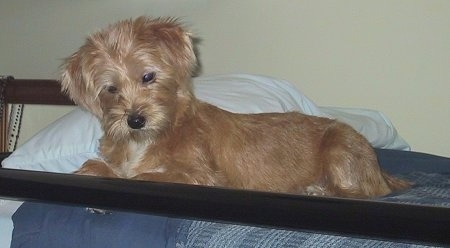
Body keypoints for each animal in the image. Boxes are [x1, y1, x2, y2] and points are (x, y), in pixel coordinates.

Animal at [60, 16, 412, 199]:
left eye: (148, 76)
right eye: (110, 89)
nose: (134, 120)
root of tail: (383, 172)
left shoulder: (203, 177)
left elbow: (144, 177)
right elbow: (105, 168)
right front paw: (94, 171)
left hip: (340, 146)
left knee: (363, 192)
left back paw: (316, 190)